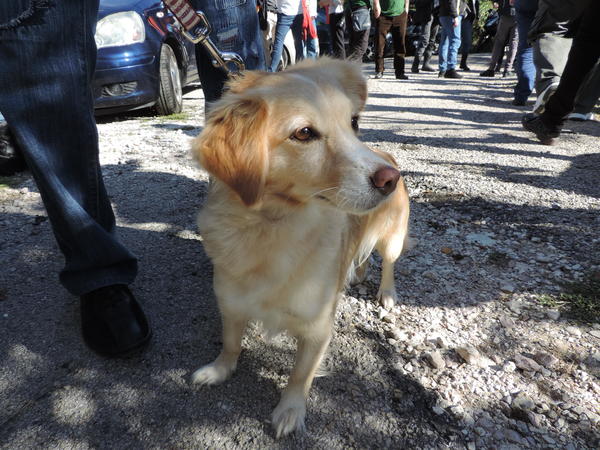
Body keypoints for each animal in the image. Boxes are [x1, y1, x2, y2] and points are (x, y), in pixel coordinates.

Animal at [190, 57, 410, 437]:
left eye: (353, 122)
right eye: (304, 134)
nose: (390, 179)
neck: (273, 227)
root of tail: (387, 154)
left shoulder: (317, 328)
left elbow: (300, 375)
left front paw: (290, 411)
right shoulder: (230, 303)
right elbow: (231, 343)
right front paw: (219, 370)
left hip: (392, 239)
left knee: (388, 263)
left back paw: (387, 292)